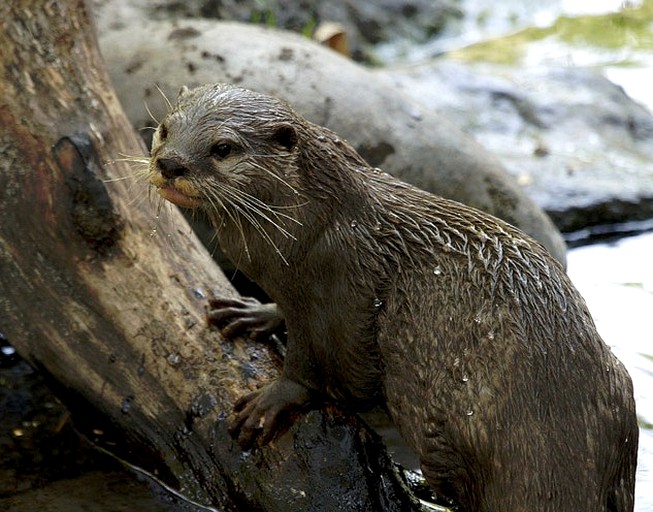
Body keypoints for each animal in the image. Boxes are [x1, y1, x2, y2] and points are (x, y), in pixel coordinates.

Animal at [148, 84, 636, 512]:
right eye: (165, 129)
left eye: (223, 148)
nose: (170, 163)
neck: (308, 225)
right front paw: (254, 312)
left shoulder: (335, 289)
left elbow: (315, 367)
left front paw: (271, 401)